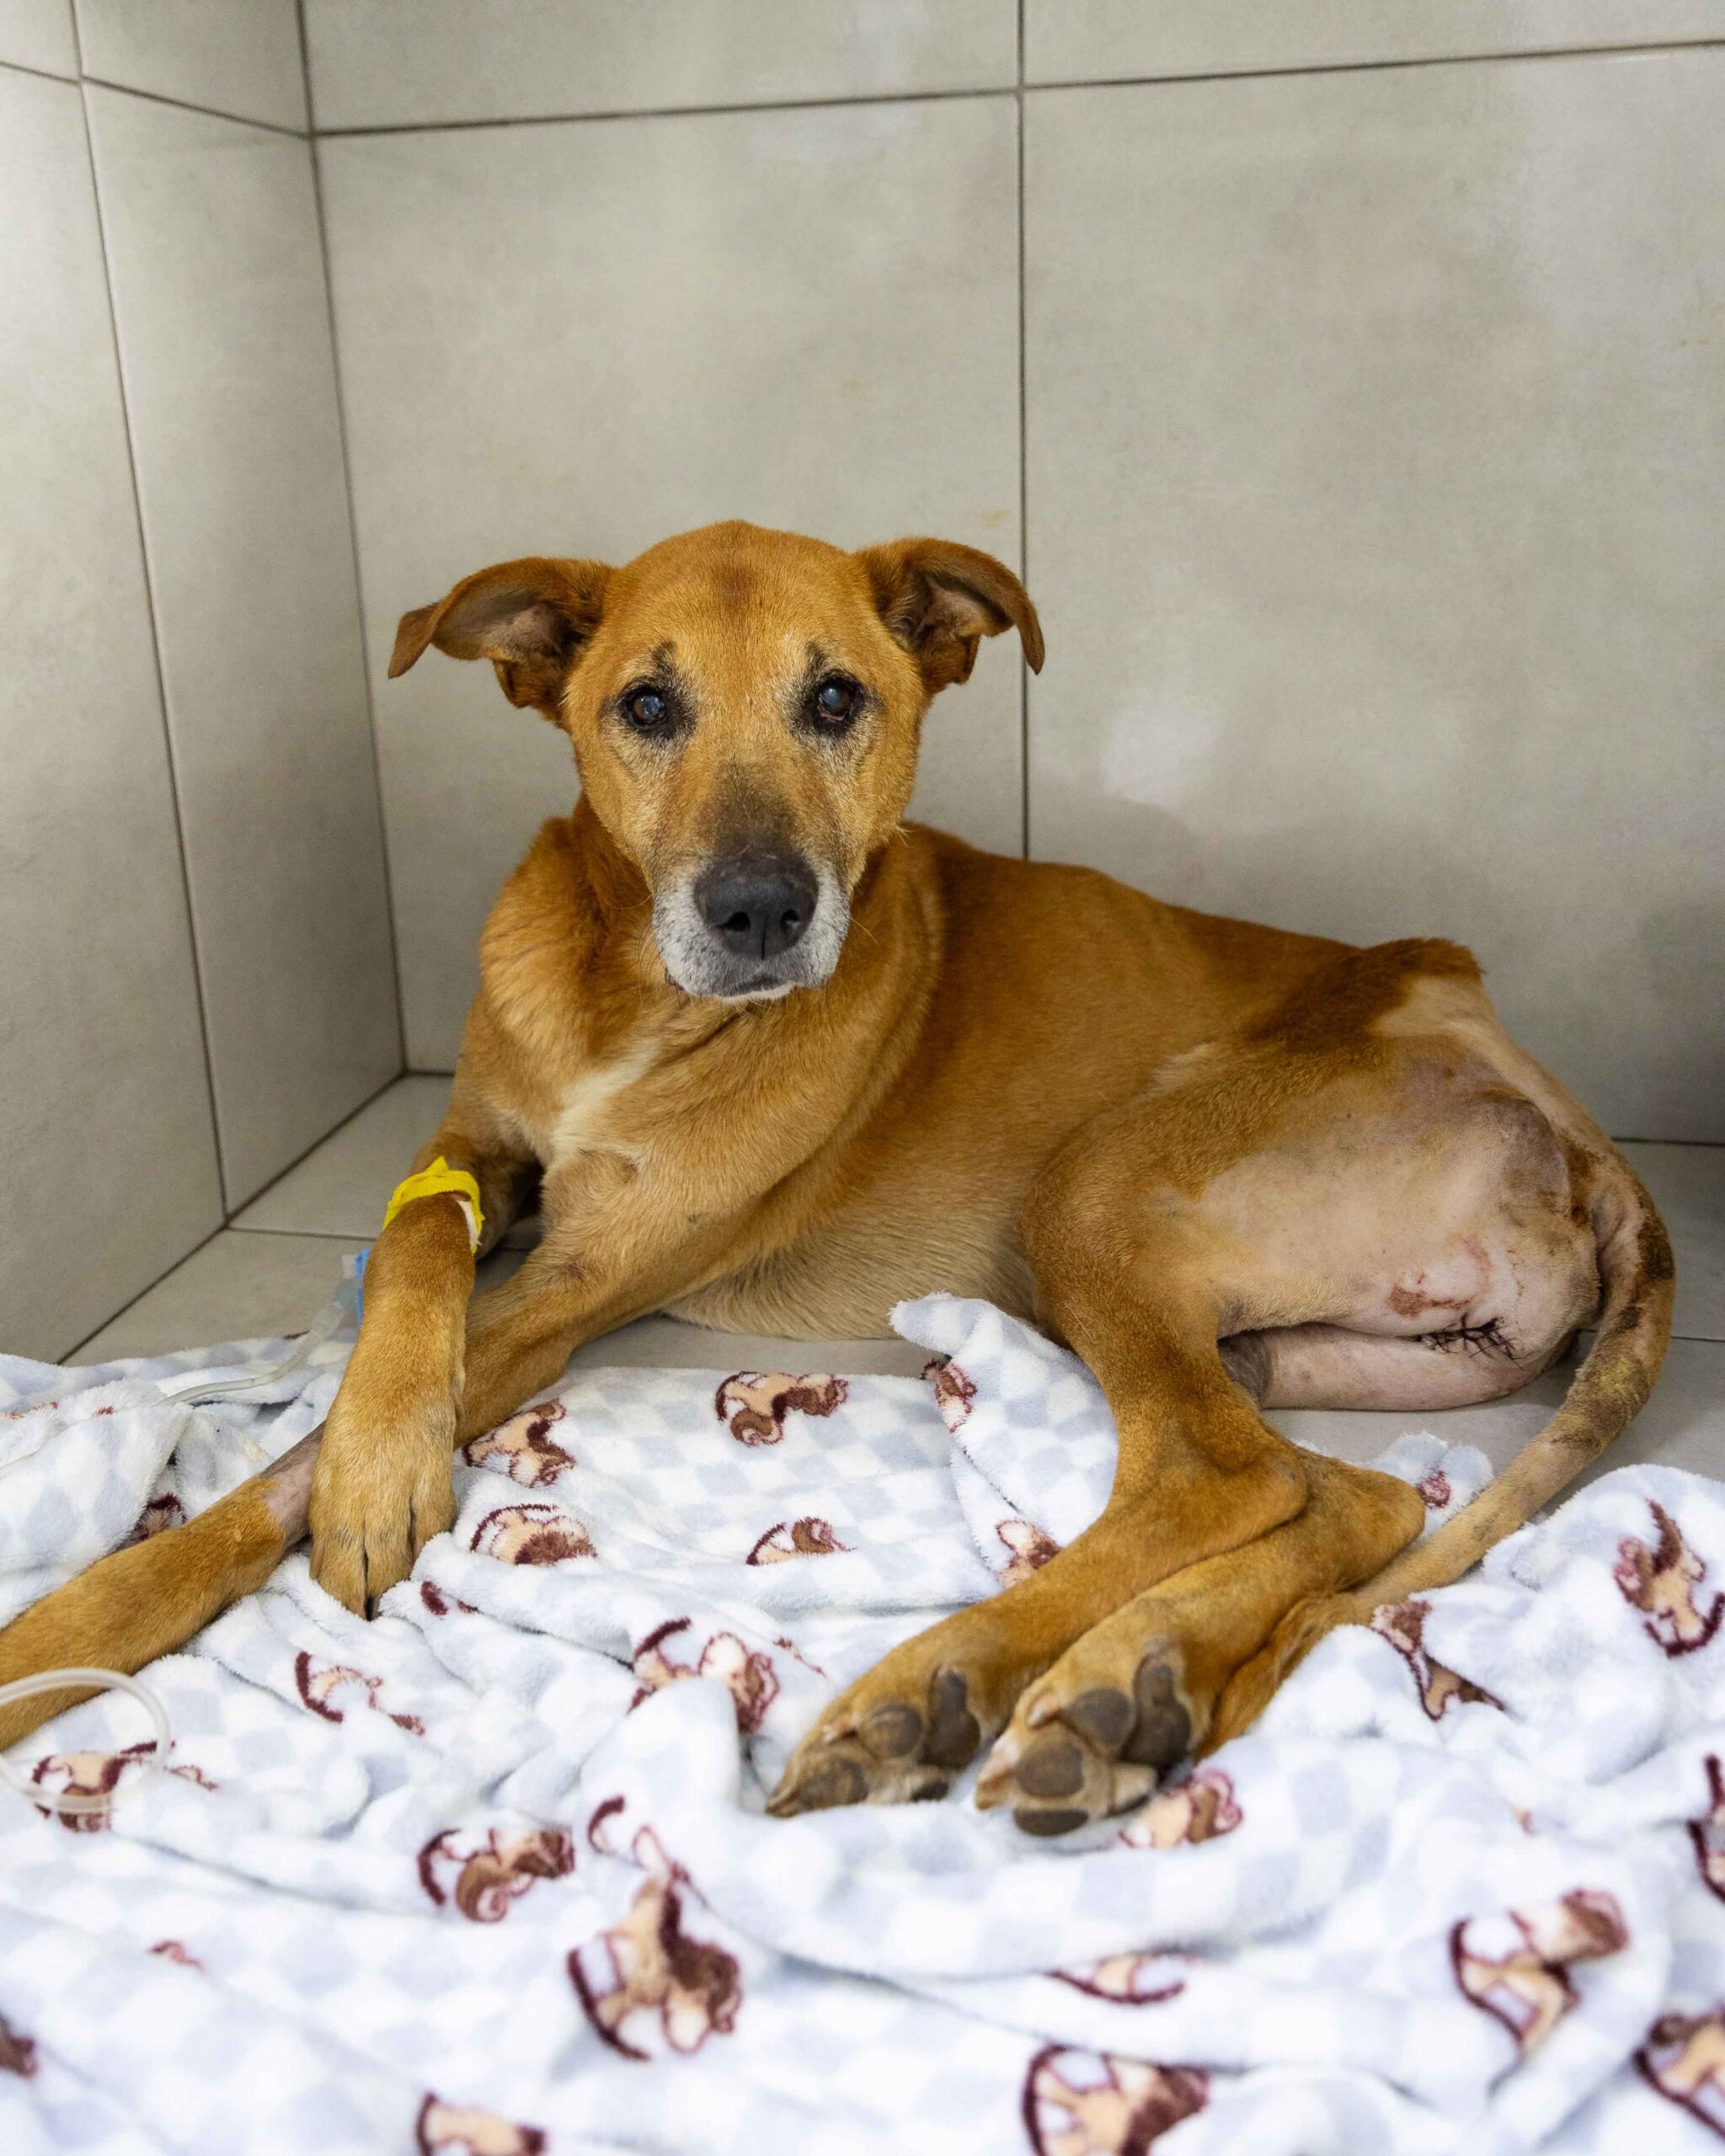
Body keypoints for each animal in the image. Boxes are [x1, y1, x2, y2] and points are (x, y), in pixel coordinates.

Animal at [0, 520, 1671, 1837]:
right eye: (646, 704)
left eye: (836, 698)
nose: (757, 910)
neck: (625, 1000)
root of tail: (1534, 1080)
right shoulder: (472, 1140)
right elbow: (413, 1259)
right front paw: (368, 1456)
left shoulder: (581, 1292)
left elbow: (269, 1480)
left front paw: (105, 1610)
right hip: (1271, 1346)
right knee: (1344, 1494)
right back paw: (1143, 1686)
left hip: (1095, 1191)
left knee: (1221, 1476)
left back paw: (953, 1685)